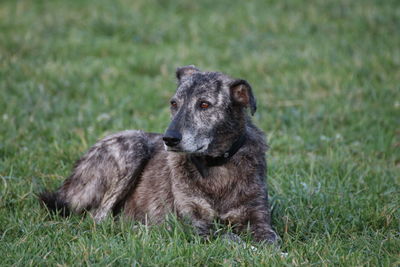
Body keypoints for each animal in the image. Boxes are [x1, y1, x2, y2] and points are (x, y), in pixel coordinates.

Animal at [39, 65, 278, 245]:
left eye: (204, 105)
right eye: (174, 103)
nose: (169, 139)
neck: (216, 166)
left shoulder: (257, 219)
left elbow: (270, 240)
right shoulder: (193, 223)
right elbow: (226, 237)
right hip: (133, 146)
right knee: (98, 219)